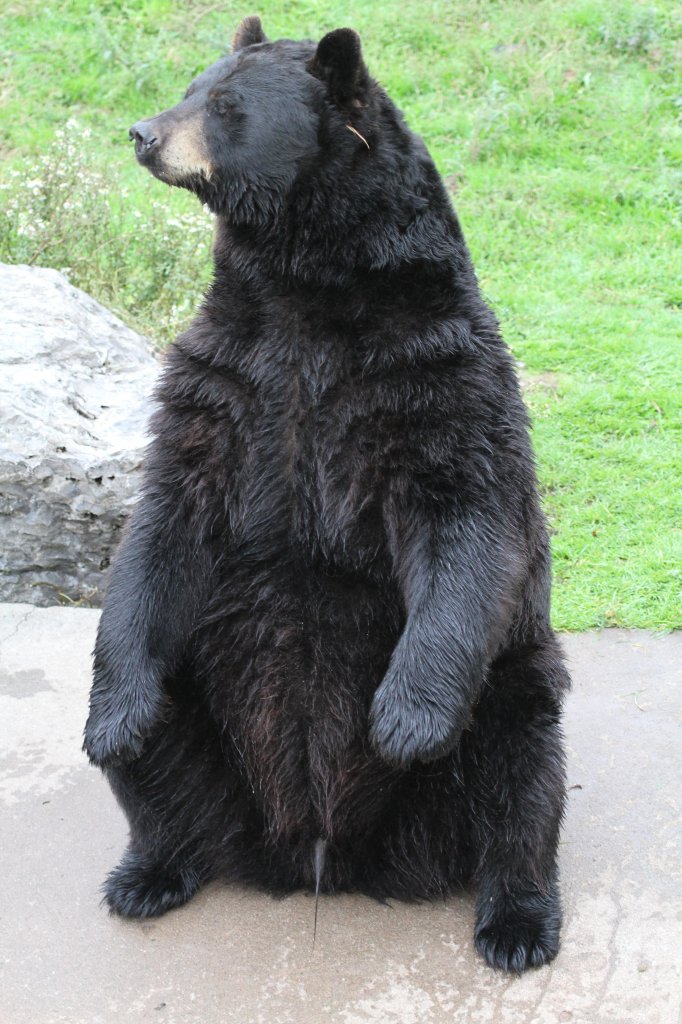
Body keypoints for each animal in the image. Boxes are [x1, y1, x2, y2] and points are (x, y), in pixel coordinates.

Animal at [83, 18, 569, 974]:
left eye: (226, 104)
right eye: (191, 84)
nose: (144, 133)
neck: (305, 288)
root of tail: (316, 850)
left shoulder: (430, 369)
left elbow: (468, 514)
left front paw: (405, 722)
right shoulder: (230, 379)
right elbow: (166, 517)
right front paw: (112, 720)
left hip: (507, 681)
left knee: (523, 768)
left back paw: (517, 921)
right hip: (200, 698)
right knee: (163, 759)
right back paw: (149, 866)